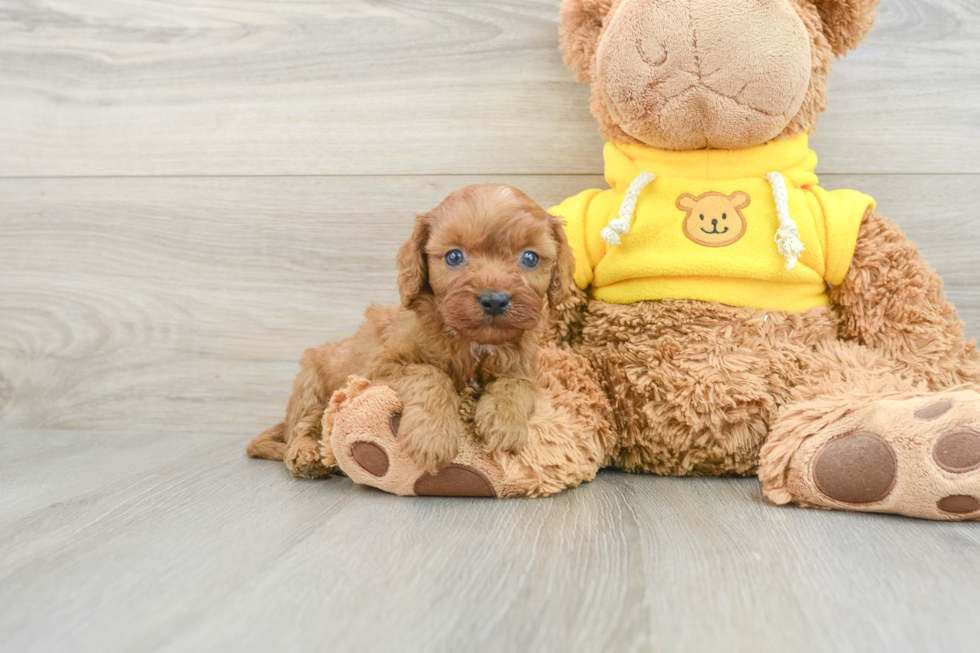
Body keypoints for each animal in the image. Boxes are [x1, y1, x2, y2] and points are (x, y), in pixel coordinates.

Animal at [249, 183, 580, 474]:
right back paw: (305, 455)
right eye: (454, 256)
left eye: (530, 257)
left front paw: (504, 422)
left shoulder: (521, 365)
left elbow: (515, 385)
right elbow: (430, 374)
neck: (470, 340)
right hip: (311, 382)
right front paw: (433, 436)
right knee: (306, 423)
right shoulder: (382, 367)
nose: (495, 301)